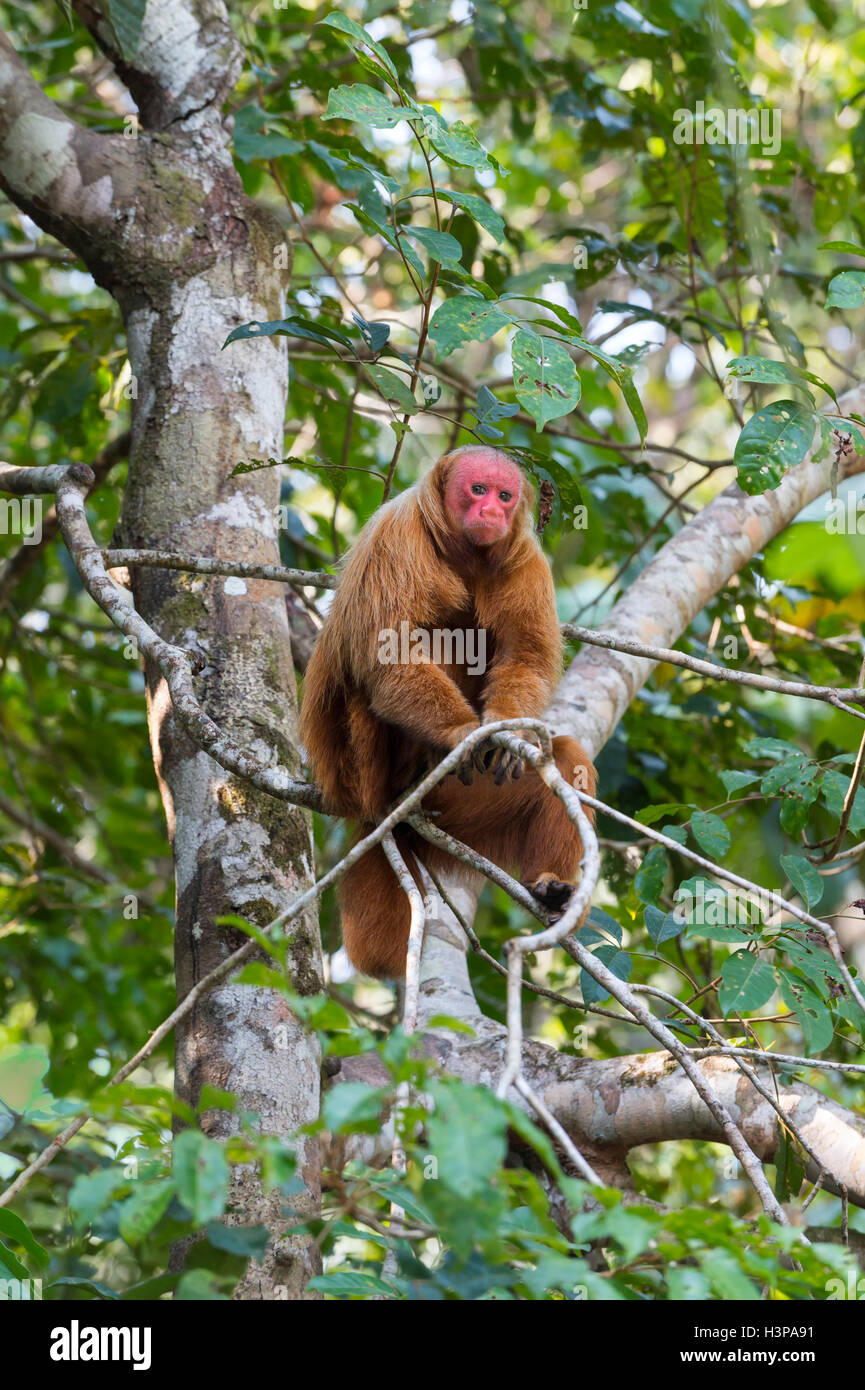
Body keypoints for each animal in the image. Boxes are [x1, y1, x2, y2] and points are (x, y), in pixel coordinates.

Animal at [300, 447, 595, 978]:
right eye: (477, 490)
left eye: (505, 495)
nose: (493, 511)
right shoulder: (396, 537)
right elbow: (389, 654)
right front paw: (462, 734)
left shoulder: (526, 561)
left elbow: (526, 658)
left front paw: (501, 737)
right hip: (361, 766)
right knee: (433, 628)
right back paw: (410, 777)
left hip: (465, 811)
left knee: (563, 759)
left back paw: (553, 890)